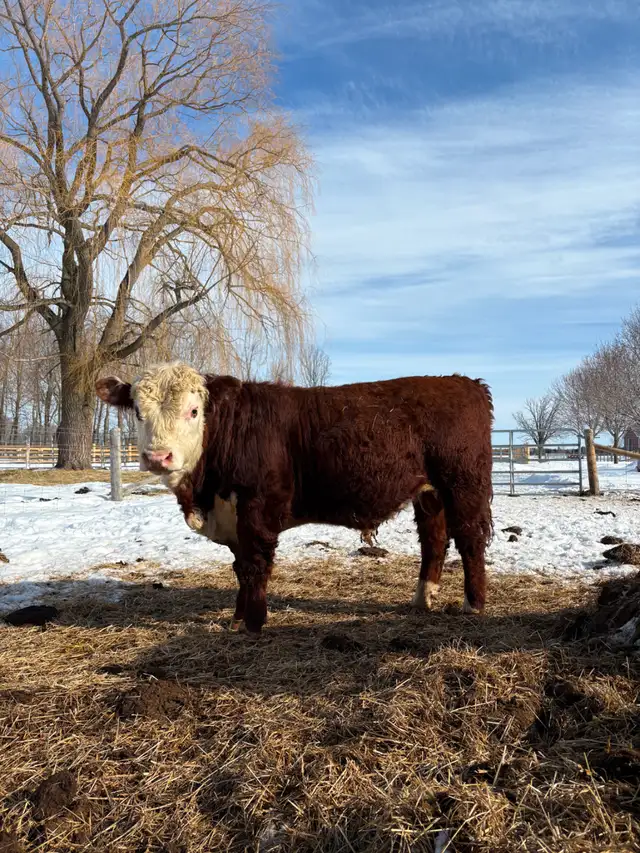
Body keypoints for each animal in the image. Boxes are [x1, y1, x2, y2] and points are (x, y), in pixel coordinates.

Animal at [96, 363, 493, 634]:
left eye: (193, 411)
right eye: (137, 412)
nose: (157, 457)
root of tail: (462, 382)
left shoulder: (257, 509)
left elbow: (256, 566)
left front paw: (253, 624)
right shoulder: (233, 518)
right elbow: (241, 568)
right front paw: (237, 619)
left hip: (463, 483)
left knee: (469, 539)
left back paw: (473, 605)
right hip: (429, 493)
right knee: (434, 540)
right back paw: (423, 599)